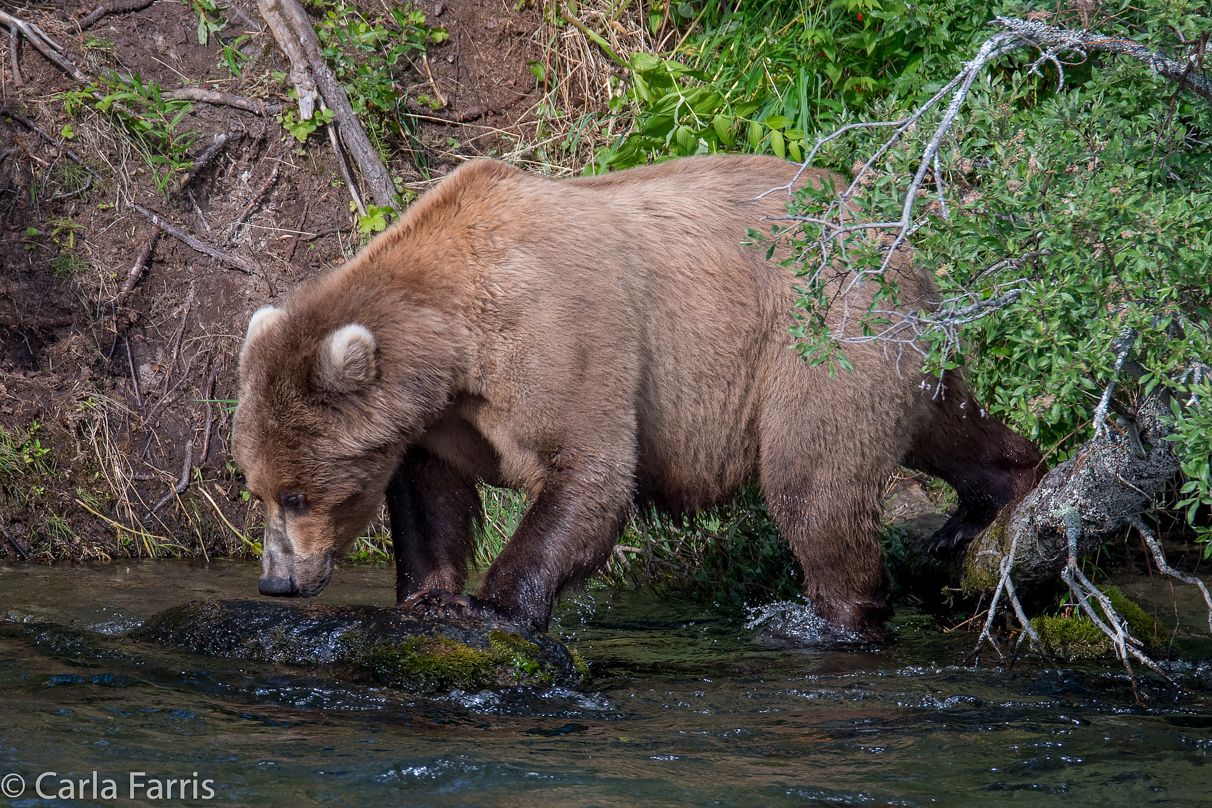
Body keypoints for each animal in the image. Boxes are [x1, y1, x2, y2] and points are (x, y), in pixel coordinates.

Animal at [233, 155, 1042, 639]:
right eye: (258, 487)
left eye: (299, 494)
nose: (276, 581)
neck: (457, 337)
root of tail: (902, 239)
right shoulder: (447, 415)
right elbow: (434, 493)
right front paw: (431, 596)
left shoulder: (563, 334)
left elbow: (588, 472)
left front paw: (495, 605)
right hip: (898, 348)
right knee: (947, 419)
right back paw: (996, 495)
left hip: (822, 336)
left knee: (814, 487)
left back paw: (847, 618)